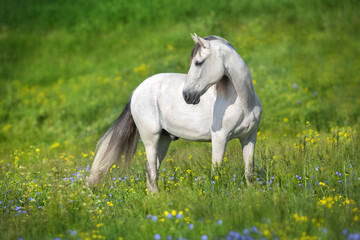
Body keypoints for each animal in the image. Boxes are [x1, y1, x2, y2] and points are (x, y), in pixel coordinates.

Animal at [87, 33, 262, 192]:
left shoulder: (249, 137)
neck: (244, 103)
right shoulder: (220, 138)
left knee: (152, 169)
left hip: (164, 139)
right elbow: (217, 172)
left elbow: (249, 171)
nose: (187, 96)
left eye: (198, 62)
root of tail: (135, 93)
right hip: (151, 139)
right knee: (151, 170)